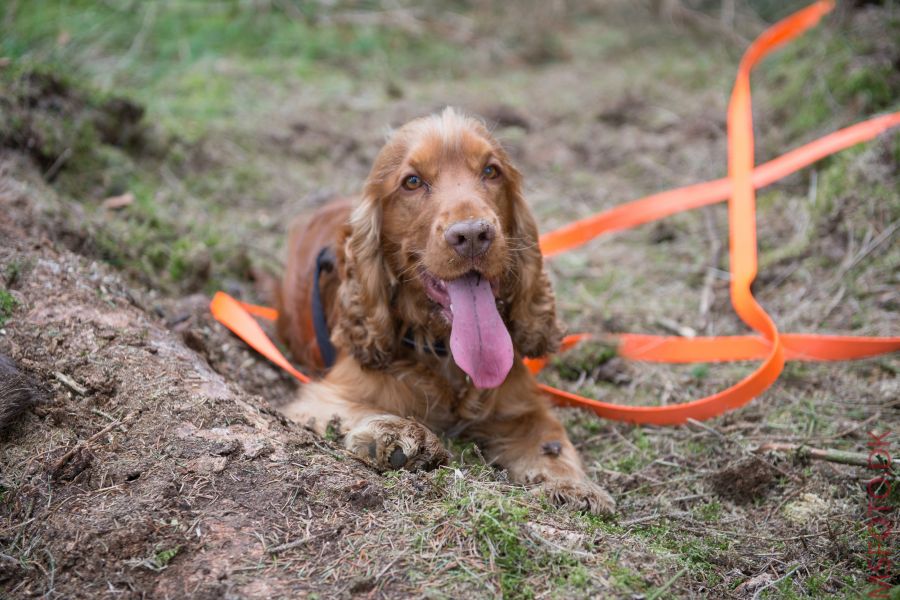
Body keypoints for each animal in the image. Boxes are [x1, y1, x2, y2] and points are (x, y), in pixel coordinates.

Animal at [276, 105, 612, 512]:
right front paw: (398, 435)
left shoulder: (521, 405)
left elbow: (551, 438)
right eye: (412, 181)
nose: (472, 235)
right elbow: (358, 409)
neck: (443, 348)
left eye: (491, 171)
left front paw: (575, 487)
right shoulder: (324, 395)